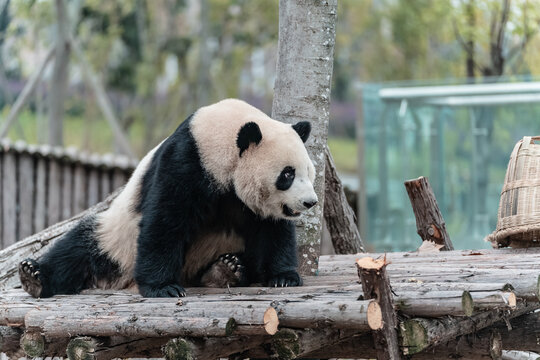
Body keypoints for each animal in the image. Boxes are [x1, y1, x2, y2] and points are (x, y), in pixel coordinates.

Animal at [19, 97, 318, 298]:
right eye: (288, 174)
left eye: (309, 172)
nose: (309, 202)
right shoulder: (188, 160)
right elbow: (166, 219)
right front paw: (163, 288)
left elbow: (271, 230)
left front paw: (283, 277)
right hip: (117, 239)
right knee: (79, 248)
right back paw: (34, 277)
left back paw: (225, 269)